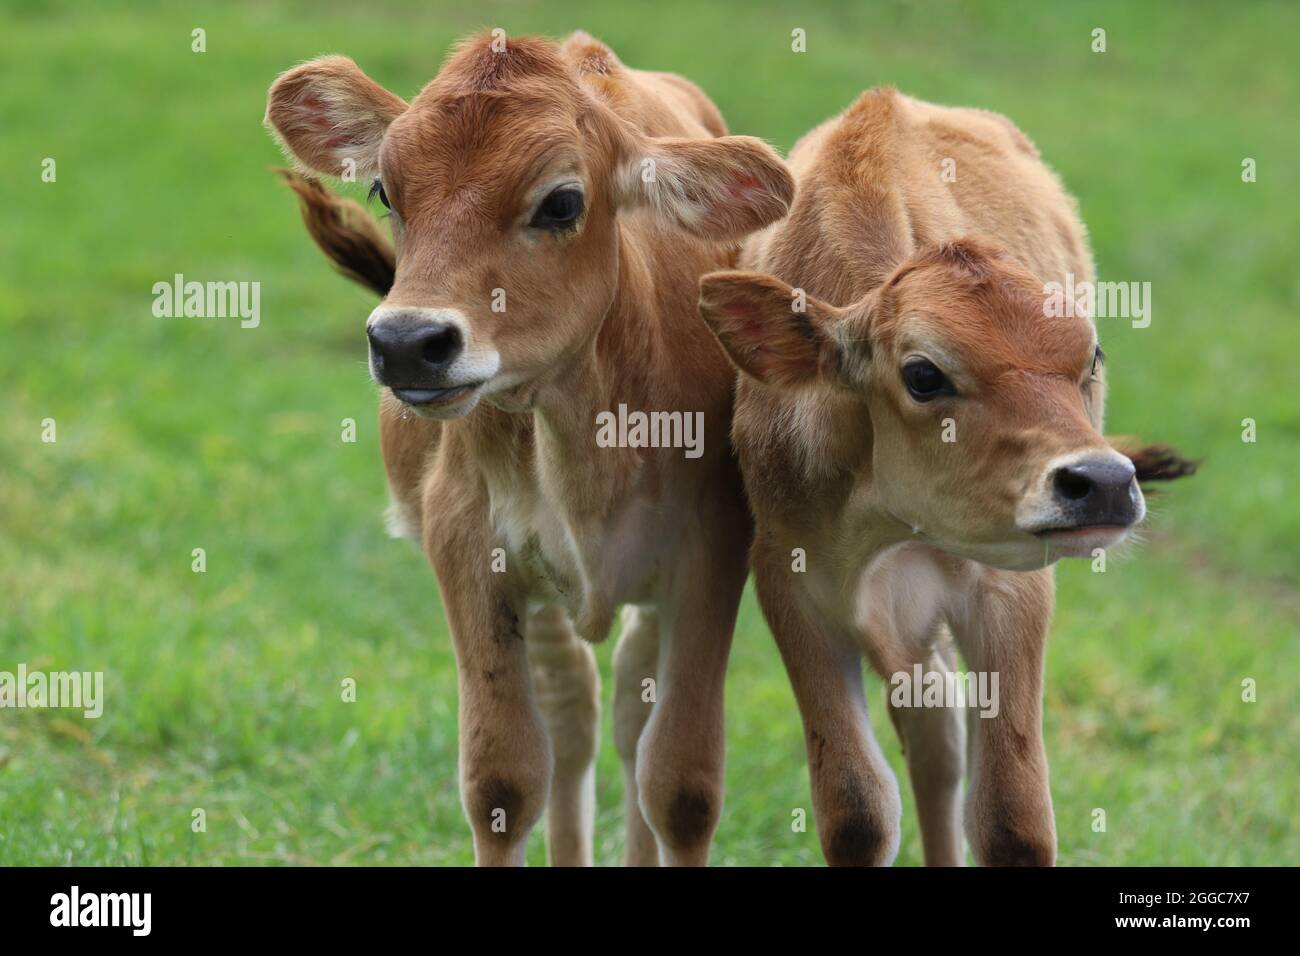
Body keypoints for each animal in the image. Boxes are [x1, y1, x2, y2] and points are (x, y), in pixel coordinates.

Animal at [264, 31, 793, 865]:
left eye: (562, 202)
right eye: (384, 191)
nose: (408, 342)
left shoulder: (712, 547)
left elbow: (680, 785)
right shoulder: (467, 543)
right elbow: (504, 780)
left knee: (629, 712)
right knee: (574, 713)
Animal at [697, 87, 1194, 866]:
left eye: (1091, 356)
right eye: (924, 375)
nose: (1104, 481)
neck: (886, 518)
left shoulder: (1011, 588)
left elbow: (1012, 820)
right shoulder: (790, 580)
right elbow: (857, 809)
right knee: (933, 742)